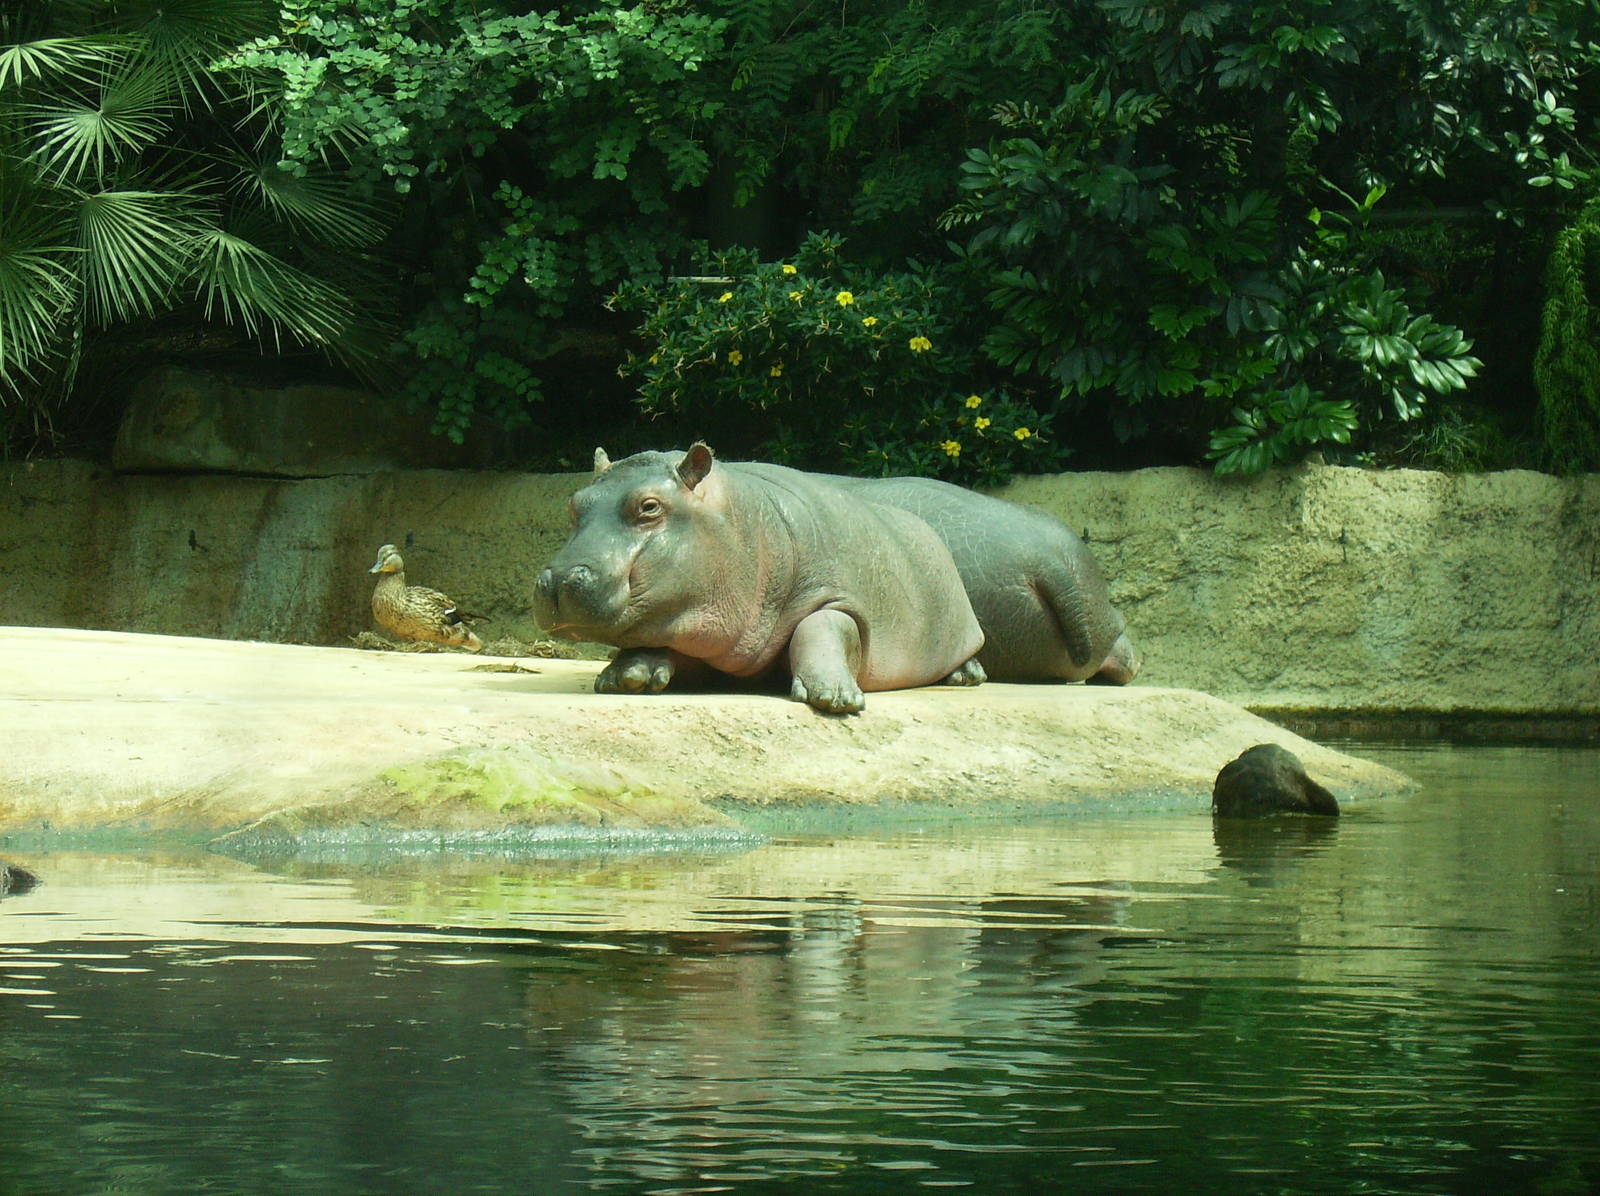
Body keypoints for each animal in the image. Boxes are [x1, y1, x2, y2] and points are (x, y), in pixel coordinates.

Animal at [532, 443, 986, 713]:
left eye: (649, 506)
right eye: (574, 504)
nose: (557, 581)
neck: (739, 521)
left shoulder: (836, 595)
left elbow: (823, 626)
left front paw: (834, 698)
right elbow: (654, 637)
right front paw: (624, 678)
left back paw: (968, 677)